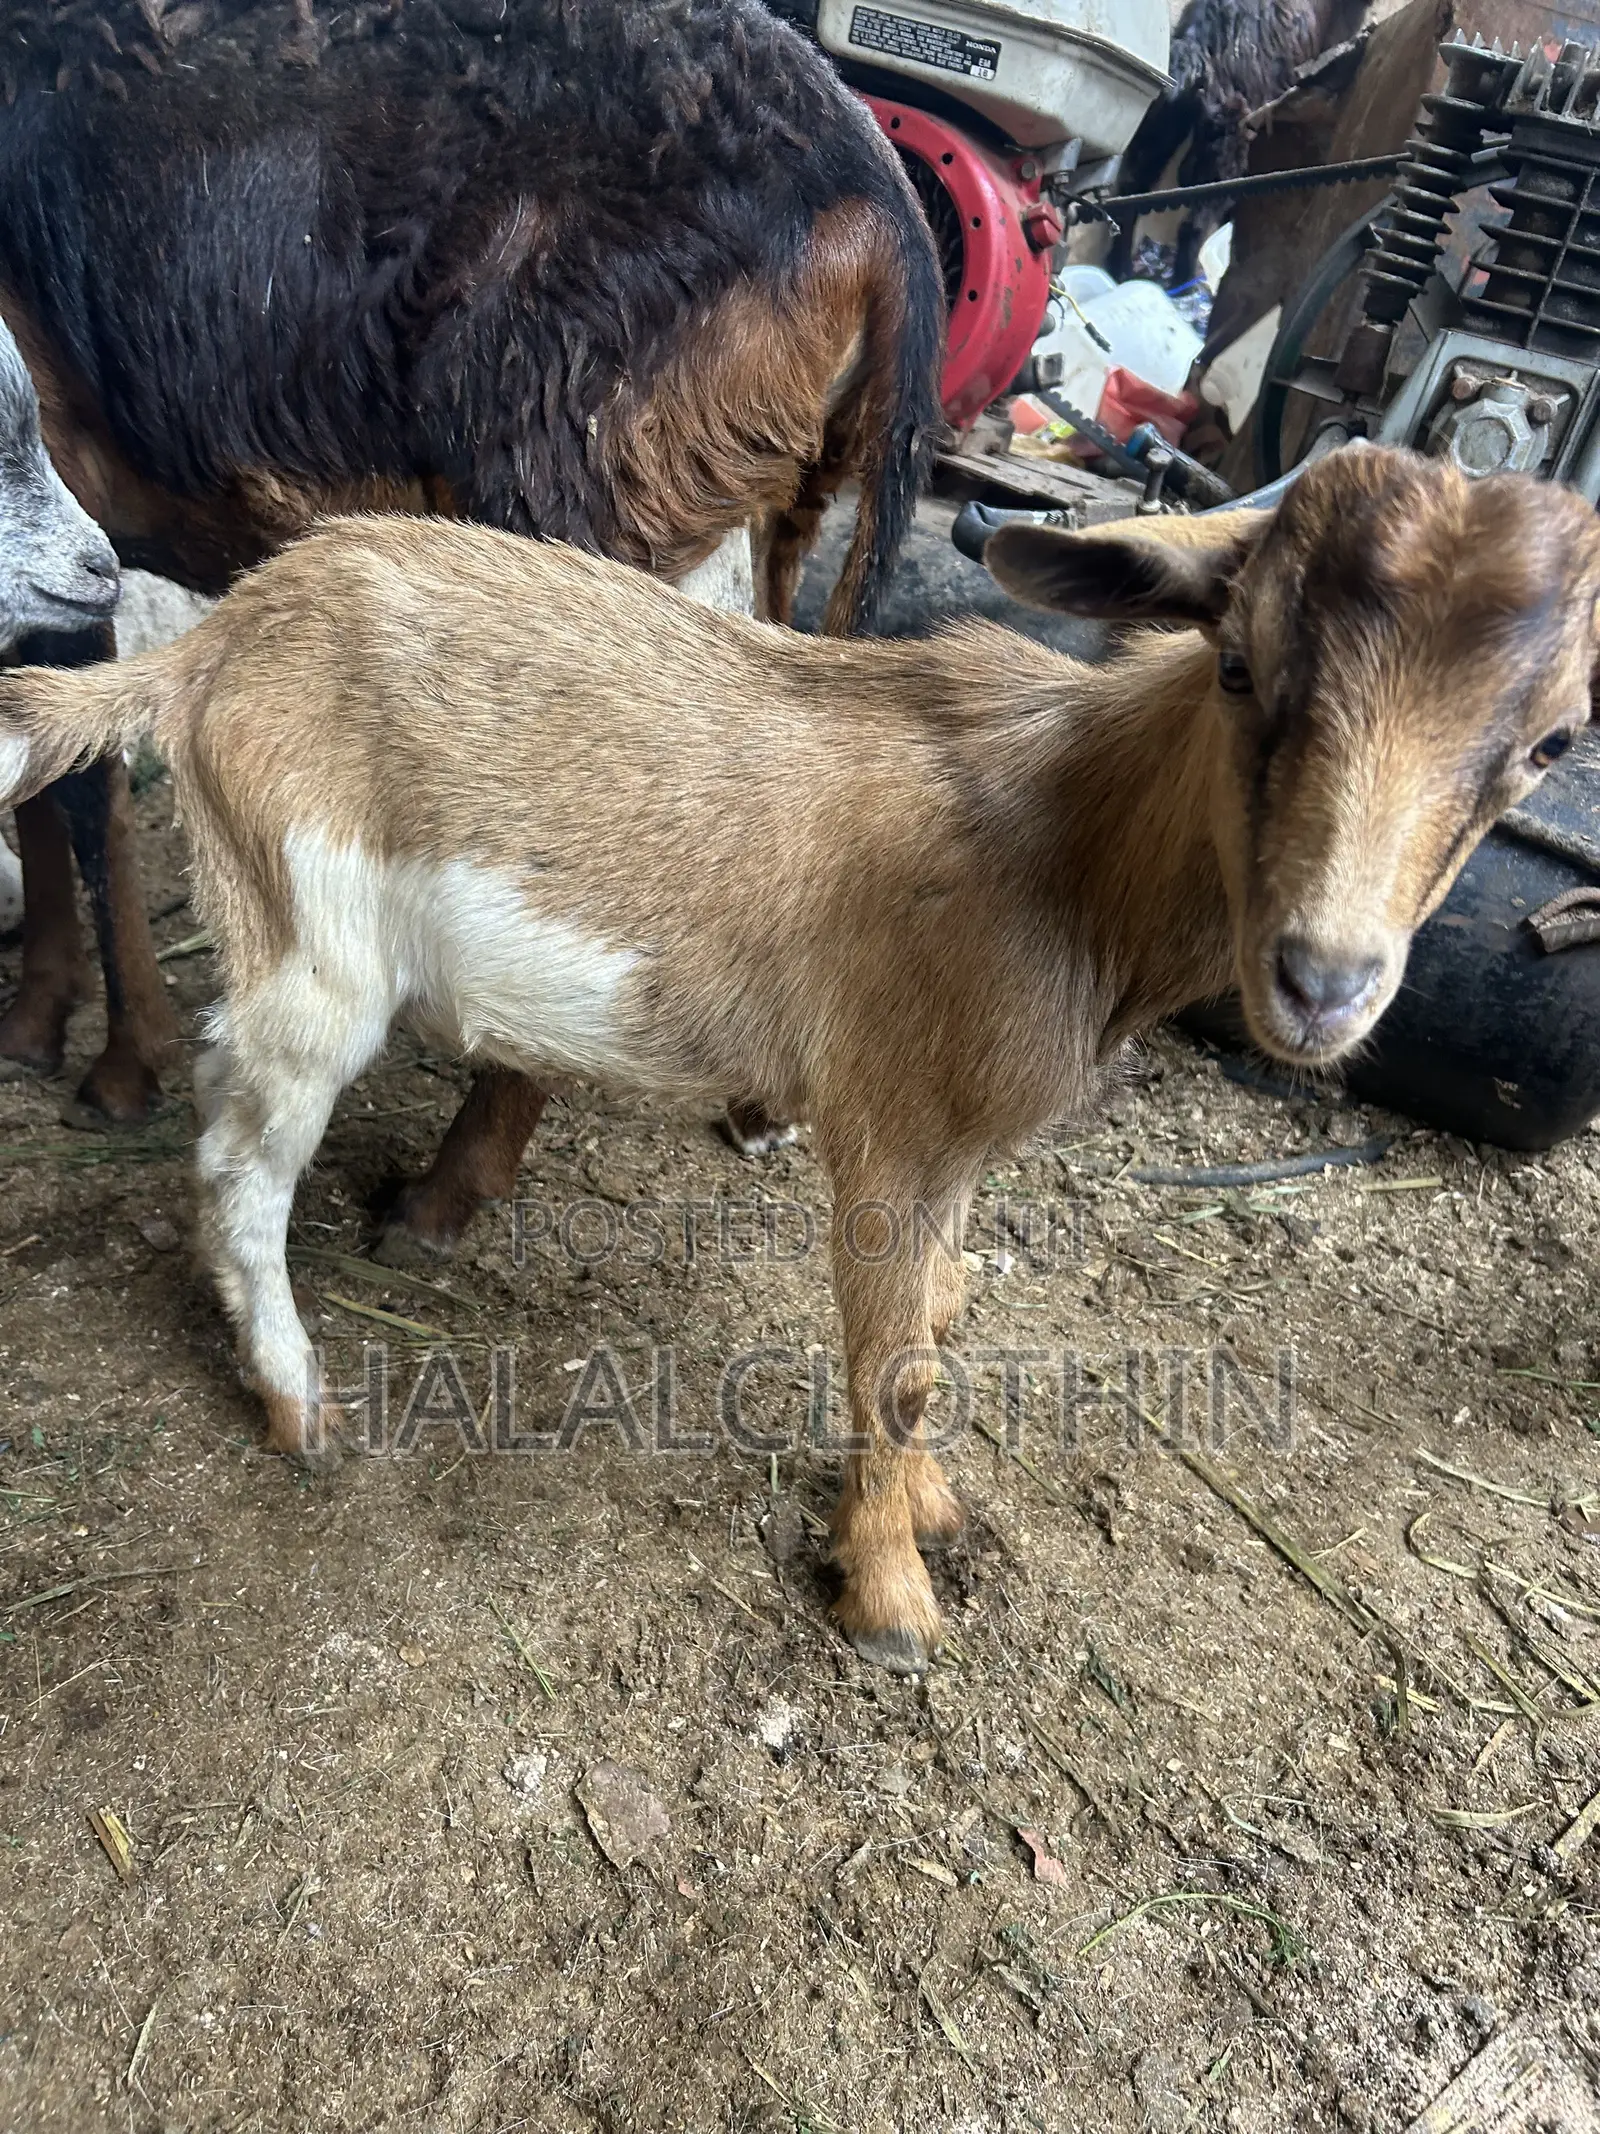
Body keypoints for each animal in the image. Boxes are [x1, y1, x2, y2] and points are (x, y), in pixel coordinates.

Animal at [0, 0, 944, 1217]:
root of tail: (875, 193)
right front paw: (35, 1018)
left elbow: (80, 785)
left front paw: (119, 1066)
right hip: (771, 511)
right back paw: (752, 1105)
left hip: (586, 498)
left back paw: (448, 1192)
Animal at [4, 446, 1592, 1672]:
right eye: (1243, 664)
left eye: (1548, 743)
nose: (1324, 981)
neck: (1066, 847)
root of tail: (206, 647)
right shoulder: (887, 1125)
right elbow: (891, 1360)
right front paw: (887, 1601)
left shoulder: (959, 1141)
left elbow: (938, 1325)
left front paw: (930, 1507)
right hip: (306, 933)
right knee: (239, 1160)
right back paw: (294, 1398)